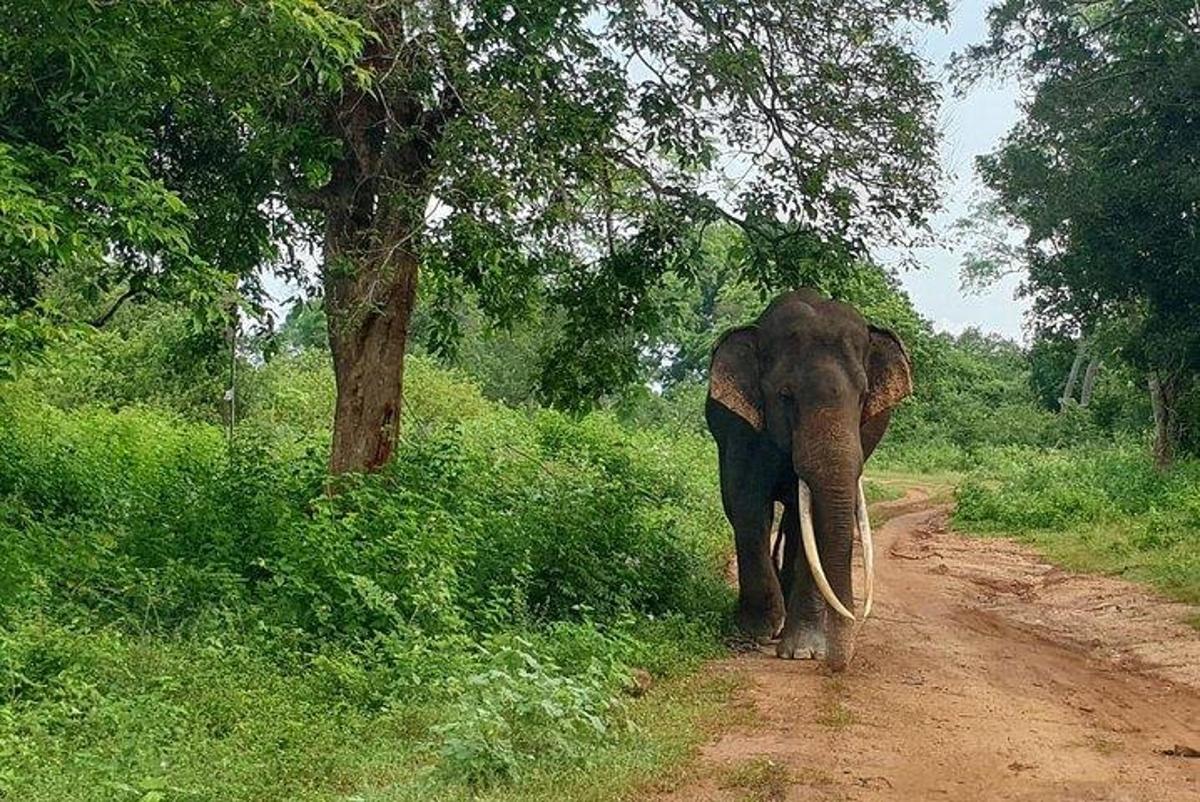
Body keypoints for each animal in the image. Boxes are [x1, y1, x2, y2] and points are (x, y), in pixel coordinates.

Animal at [700, 288, 907, 672]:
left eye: (863, 397)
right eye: (786, 396)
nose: (837, 666)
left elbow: (808, 520)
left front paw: (805, 651)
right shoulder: (743, 430)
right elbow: (748, 505)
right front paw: (757, 631)